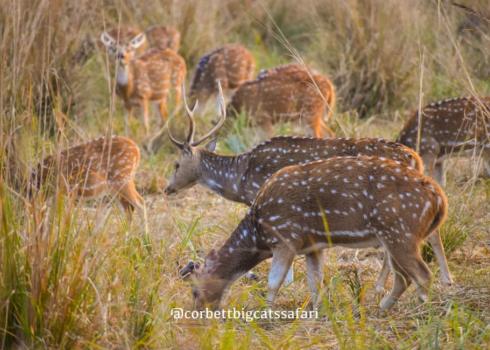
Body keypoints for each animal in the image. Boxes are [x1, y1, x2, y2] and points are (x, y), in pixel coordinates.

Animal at [170, 85, 454, 292]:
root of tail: (414, 157)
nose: (167, 188)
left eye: (175, 164)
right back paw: (443, 279)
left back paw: (386, 286)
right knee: (429, 233)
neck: (241, 177)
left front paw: (287, 283)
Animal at [183, 157, 448, 310]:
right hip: (396, 236)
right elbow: (315, 282)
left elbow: (274, 281)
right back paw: (382, 308)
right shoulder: (313, 245)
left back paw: (421, 310)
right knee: (403, 277)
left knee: (423, 274)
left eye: (195, 290)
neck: (259, 233)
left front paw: (266, 314)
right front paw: (316, 311)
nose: (197, 312)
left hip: (400, 232)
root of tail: (439, 198)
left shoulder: (285, 237)